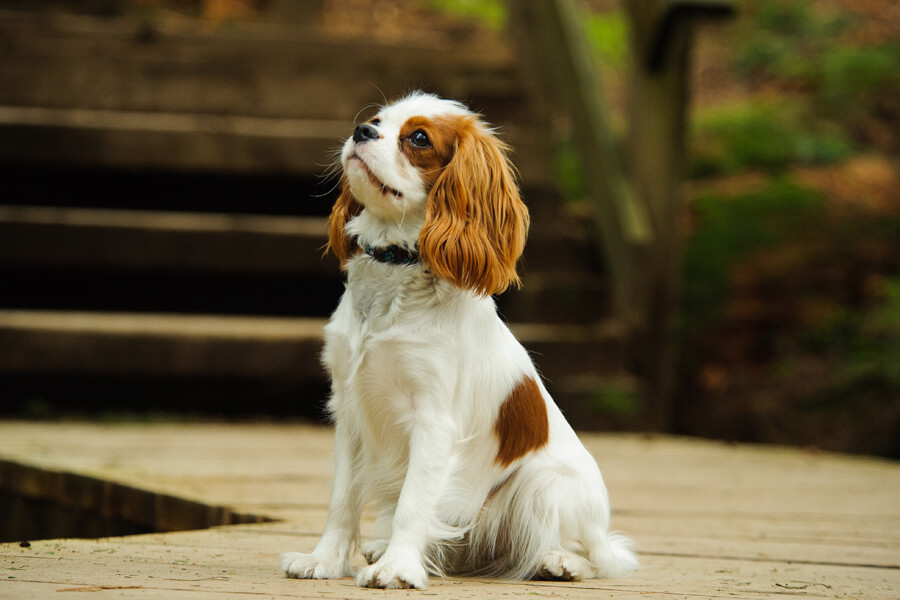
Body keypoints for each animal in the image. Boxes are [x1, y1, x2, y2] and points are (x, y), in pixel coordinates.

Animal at [282, 91, 640, 588]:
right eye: (376, 120)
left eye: (418, 138)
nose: (361, 132)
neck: (395, 267)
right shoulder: (351, 411)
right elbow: (343, 499)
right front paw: (325, 560)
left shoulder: (434, 420)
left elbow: (413, 502)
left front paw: (397, 568)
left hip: (547, 485)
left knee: (597, 556)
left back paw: (560, 562)